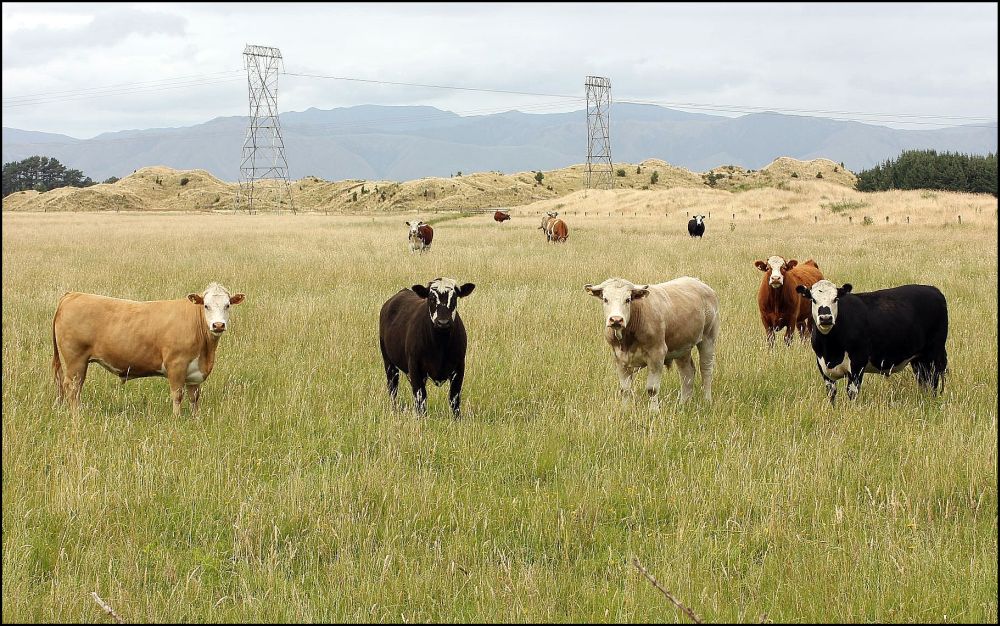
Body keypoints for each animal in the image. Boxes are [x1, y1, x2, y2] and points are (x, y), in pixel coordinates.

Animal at [51, 282, 245, 414]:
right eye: (206, 305)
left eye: (228, 305)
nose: (218, 325)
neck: (206, 352)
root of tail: (72, 295)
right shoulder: (176, 365)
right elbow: (177, 395)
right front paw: (177, 419)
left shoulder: (195, 372)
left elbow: (194, 398)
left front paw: (195, 419)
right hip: (75, 359)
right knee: (72, 387)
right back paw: (77, 414)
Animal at [380, 276, 478, 414]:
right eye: (431, 298)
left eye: (454, 298)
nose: (443, 322)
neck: (440, 345)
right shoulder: (415, 367)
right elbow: (420, 399)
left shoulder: (459, 368)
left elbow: (454, 399)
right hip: (389, 363)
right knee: (393, 389)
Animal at [584, 276, 720, 412]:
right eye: (605, 299)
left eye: (628, 299)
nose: (616, 319)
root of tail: (699, 282)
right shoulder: (619, 358)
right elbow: (625, 389)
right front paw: (625, 411)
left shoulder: (657, 355)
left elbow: (652, 389)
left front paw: (654, 411)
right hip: (682, 347)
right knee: (687, 373)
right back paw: (683, 404)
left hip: (708, 338)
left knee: (706, 370)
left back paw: (707, 401)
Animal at [792, 280, 948, 404]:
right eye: (813, 299)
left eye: (835, 298)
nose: (825, 318)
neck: (831, 349)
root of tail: (934, 290)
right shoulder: (823, 366)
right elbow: (831, 394)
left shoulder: (857, 363)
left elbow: (852, 392)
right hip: (918, 359)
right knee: (923, 381)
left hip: (934, 354)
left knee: (933, 381)